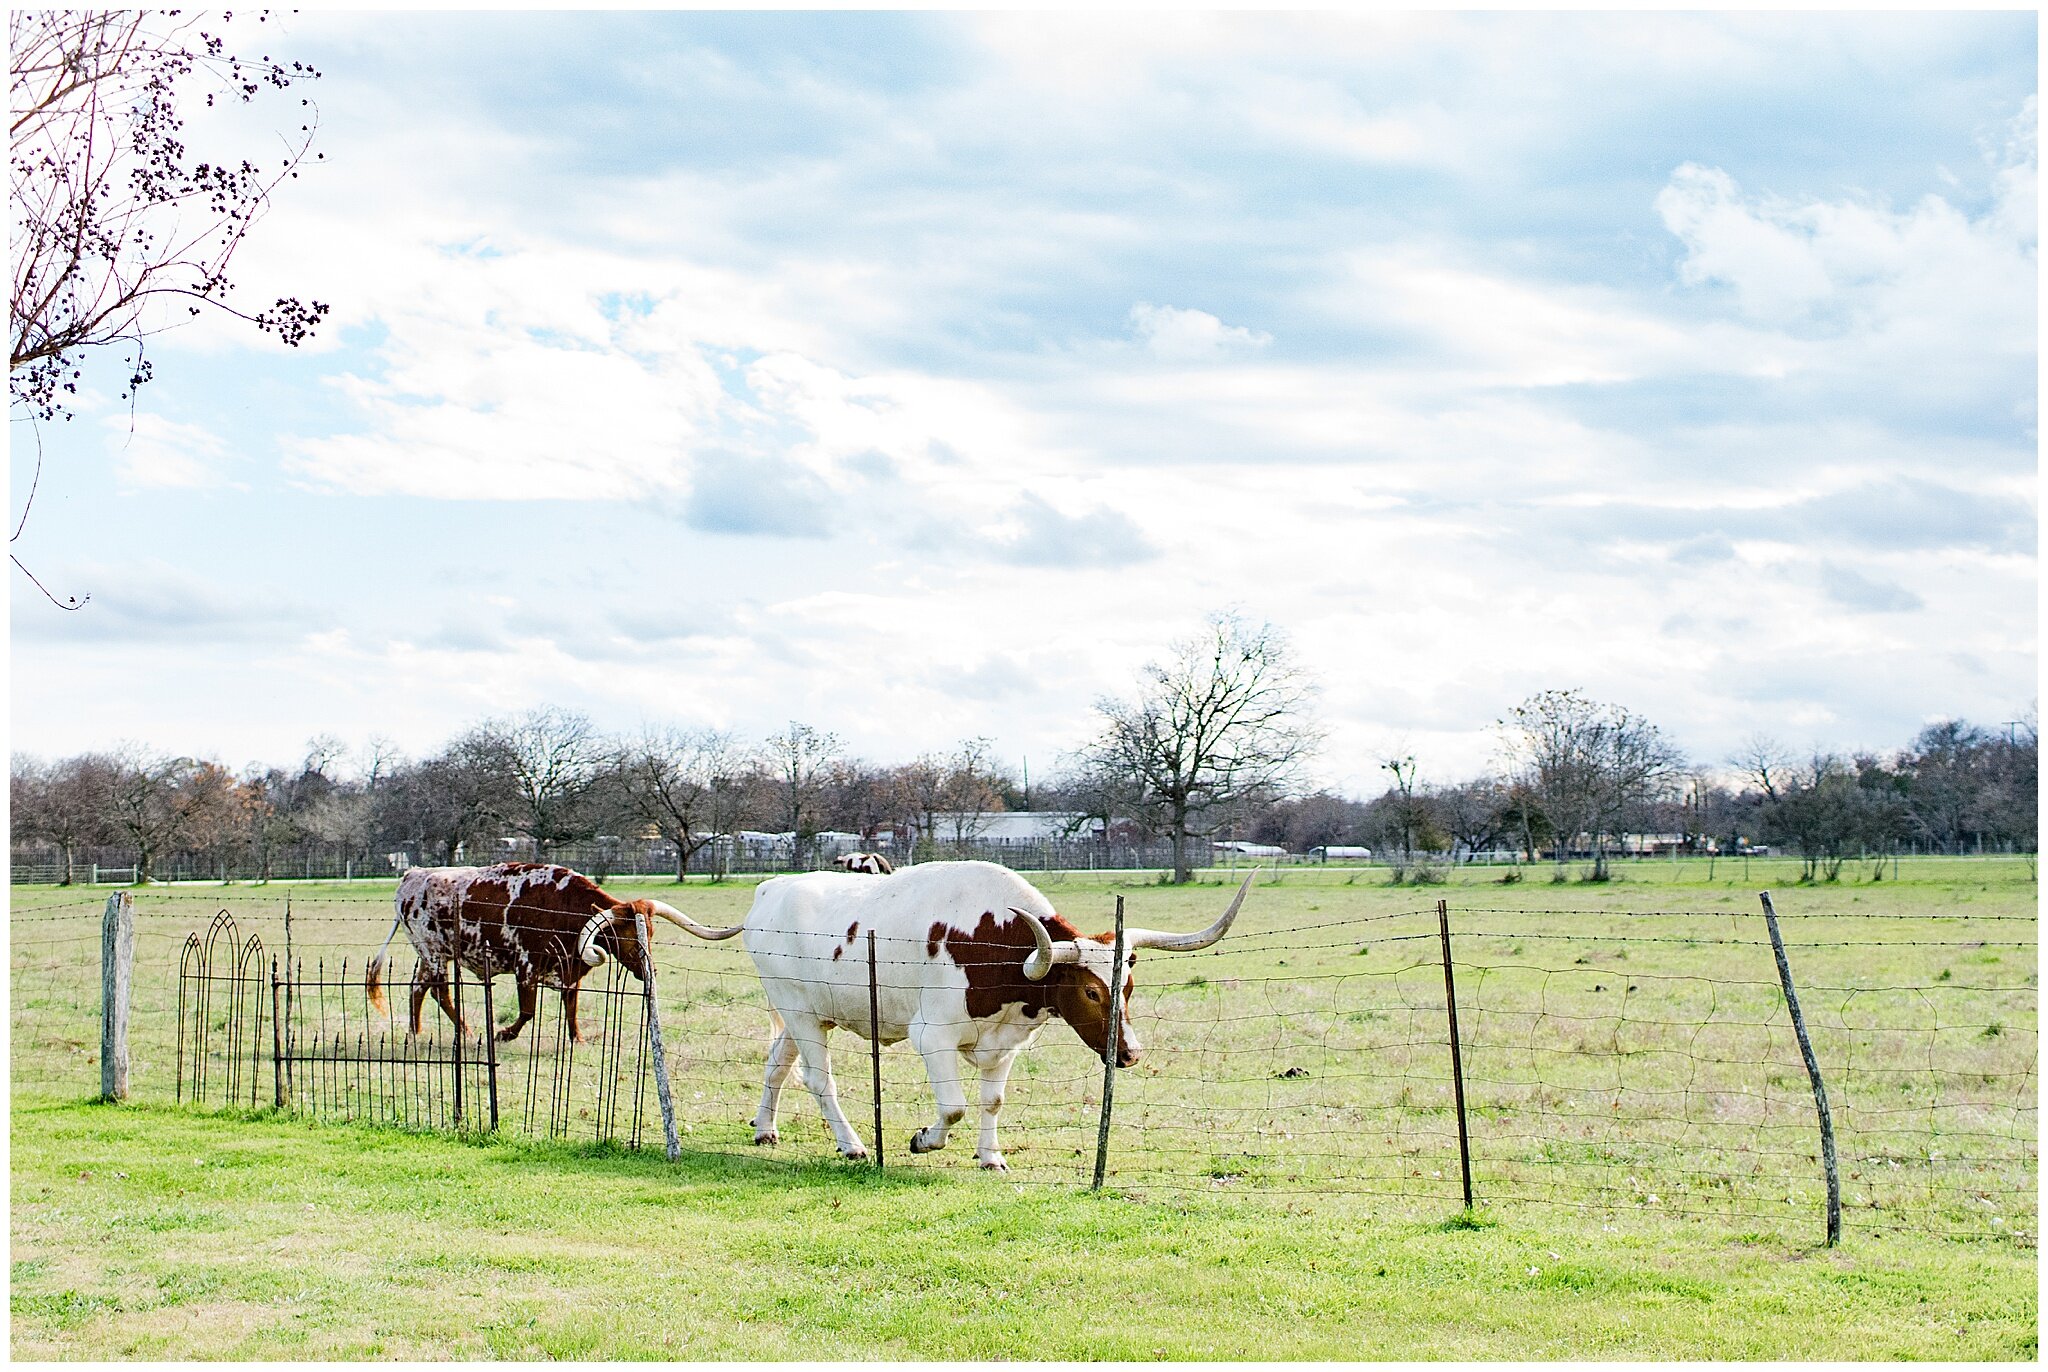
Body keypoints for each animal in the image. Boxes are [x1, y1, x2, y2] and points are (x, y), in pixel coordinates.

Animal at [370, 864, 745, 1048]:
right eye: (622, 936)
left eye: (651, 933)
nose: (648, 970)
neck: (562, 906)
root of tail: (412, 876)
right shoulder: (526, 966)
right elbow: (527, 1011)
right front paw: (503, 1034)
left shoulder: (570, 972)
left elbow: (571, 1007)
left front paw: (577, 1039)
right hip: (433, 952)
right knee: (439, 990)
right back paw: (464, 1031)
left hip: (433, 955)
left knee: (419, 989)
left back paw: (417, 1033)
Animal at [679, 860, 1245, 1171]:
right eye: (1089, 990)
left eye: (1126, 986)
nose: (1130, 1053)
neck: (998, 943)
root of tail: (770, 889)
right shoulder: (933, 1038)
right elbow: (952, 1107)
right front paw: (923, 1141)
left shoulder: (1006, 1043)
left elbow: (992, 1102)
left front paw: (991, 1157)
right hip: (799, 1010)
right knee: (819, 1080)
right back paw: (853, 1145)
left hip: (805, 1013)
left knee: (778, 1063)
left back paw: (764, 1129)